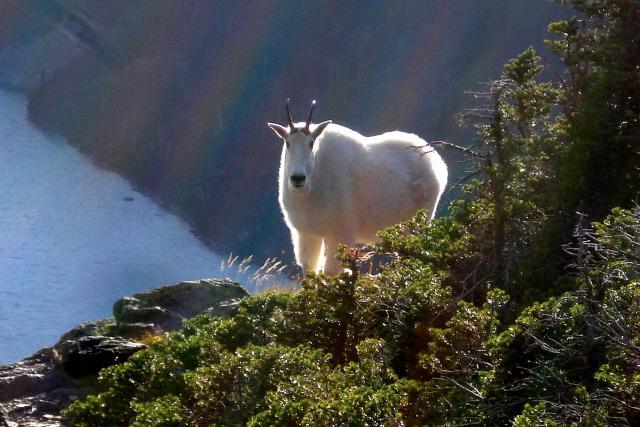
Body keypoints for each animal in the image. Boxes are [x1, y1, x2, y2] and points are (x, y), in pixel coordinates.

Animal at [268, 99, 448, 274]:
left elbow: (330, 272)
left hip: (420, 221)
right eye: (288, 143)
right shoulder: (306, 233)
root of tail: (437, 162)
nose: (298, 178)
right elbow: (309, 270)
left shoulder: (341, 232)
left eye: (311, 143)